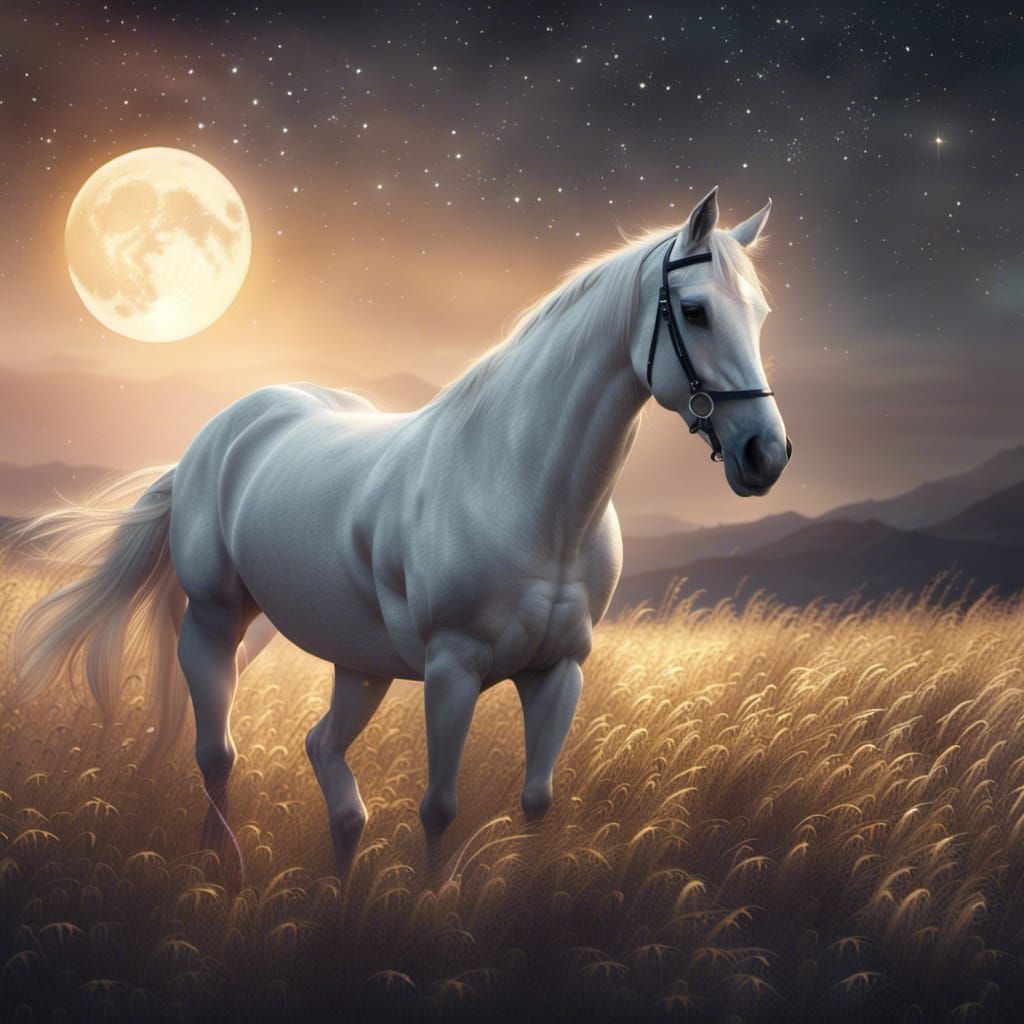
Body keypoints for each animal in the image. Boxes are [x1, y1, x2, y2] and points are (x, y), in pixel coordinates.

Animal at [12, 186, 791, 877]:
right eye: (694, 310)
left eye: (760, 314)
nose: (766, 453)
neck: (521, 487)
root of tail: (219, 433)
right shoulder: (452, 670)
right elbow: (439, 808)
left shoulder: (559, 672)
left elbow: (537, 801)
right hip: (214, 622)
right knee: (217, 754)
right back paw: (218, 868)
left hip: (359, 665)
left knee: (324, 757)